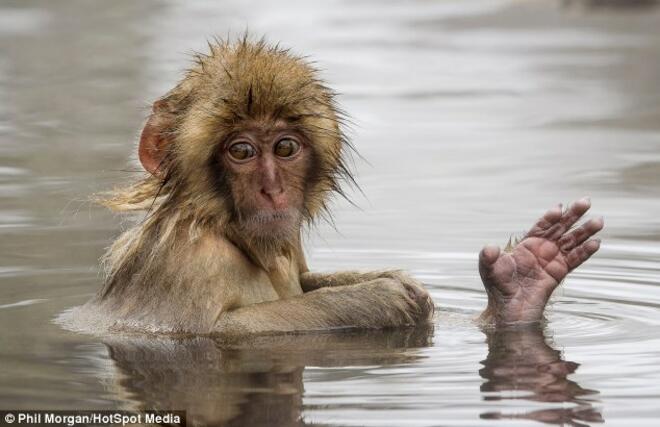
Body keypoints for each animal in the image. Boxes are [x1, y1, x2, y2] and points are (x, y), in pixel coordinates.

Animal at [68, 36, 604, 338]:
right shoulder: (191, 262)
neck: (228, 231)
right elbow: (213, 332)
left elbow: (305, 279)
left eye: (285, 147)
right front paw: (380, 299)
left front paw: (520, 283)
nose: (272, 189)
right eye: (241, 152)